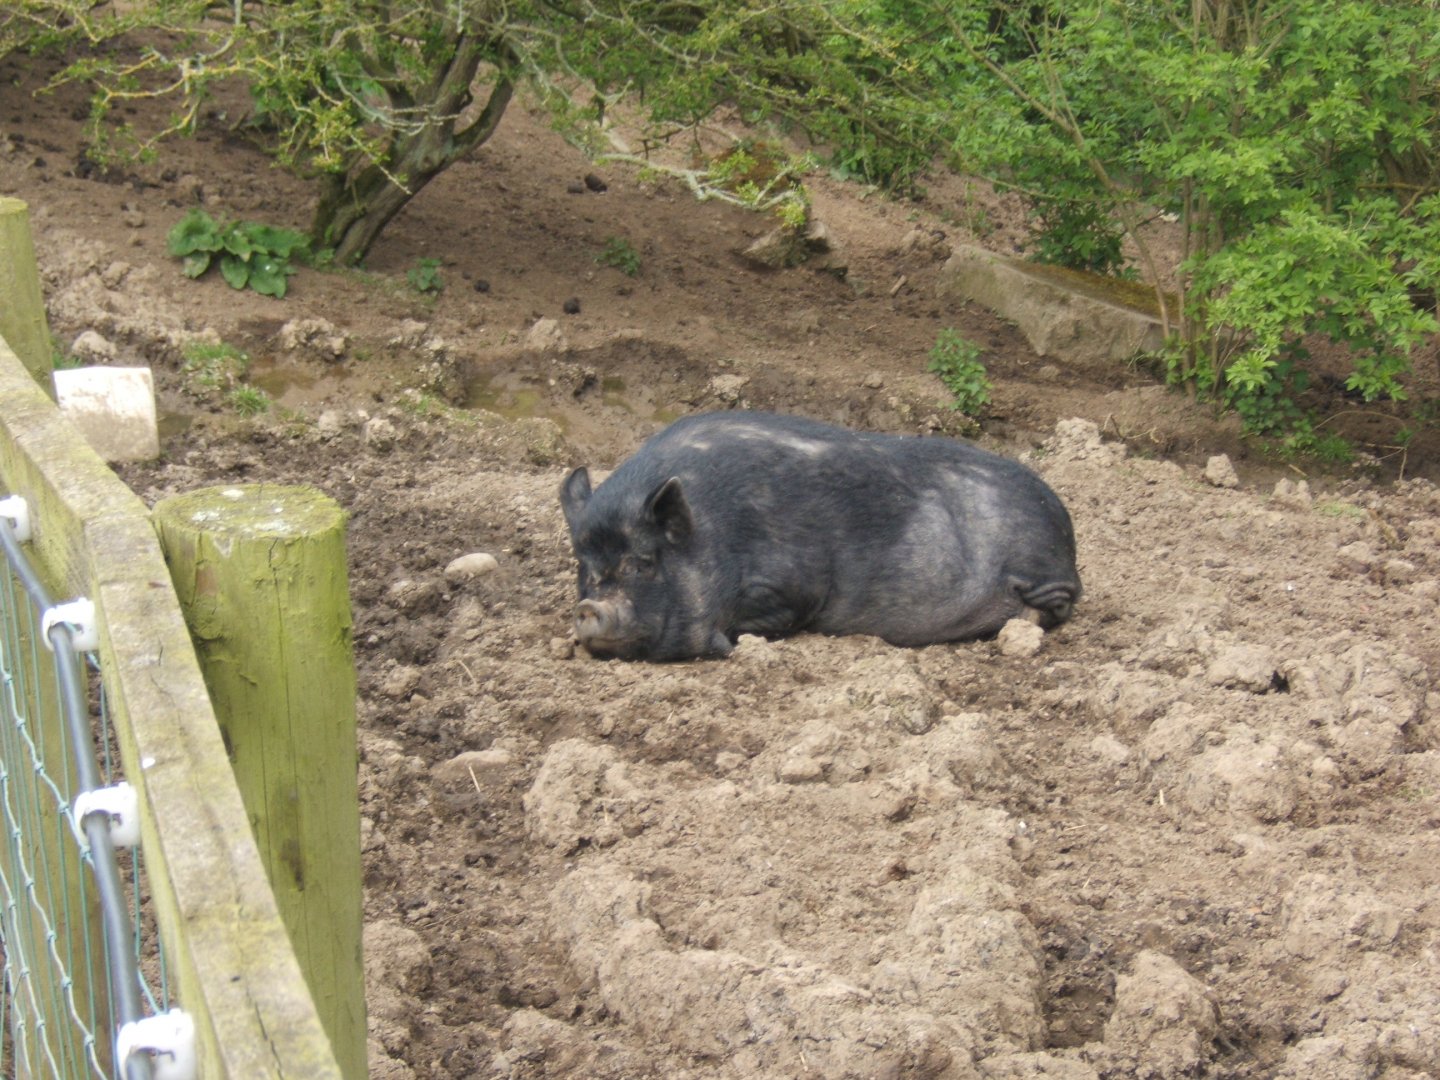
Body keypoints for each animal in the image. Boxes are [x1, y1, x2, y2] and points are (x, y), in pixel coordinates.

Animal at [559, 410, 1080, 660]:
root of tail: (1061, 516)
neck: (713, 533)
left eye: (644, 562)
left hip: (1043, 573)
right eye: (585, 569)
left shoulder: (794, 585)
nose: (588, 607)